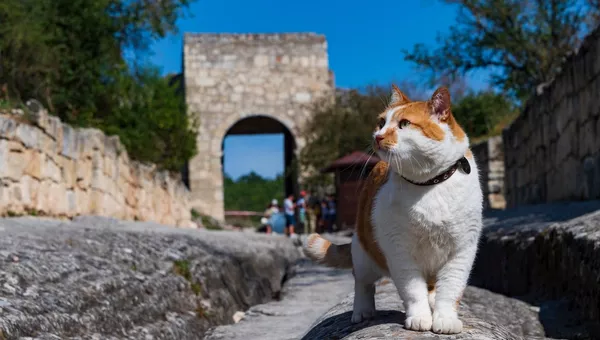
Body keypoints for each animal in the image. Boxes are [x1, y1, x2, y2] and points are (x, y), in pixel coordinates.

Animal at [304, 85, 482, 334]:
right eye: (381, 123)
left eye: (404, 124)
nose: (378, 136)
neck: (429, 185)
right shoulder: (399, 251)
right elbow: (413, 290)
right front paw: (420, 317)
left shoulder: (462, 249)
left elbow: (450, 289)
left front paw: (445, 318)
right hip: (364, 253)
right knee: (362, 282)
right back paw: (362, 310)